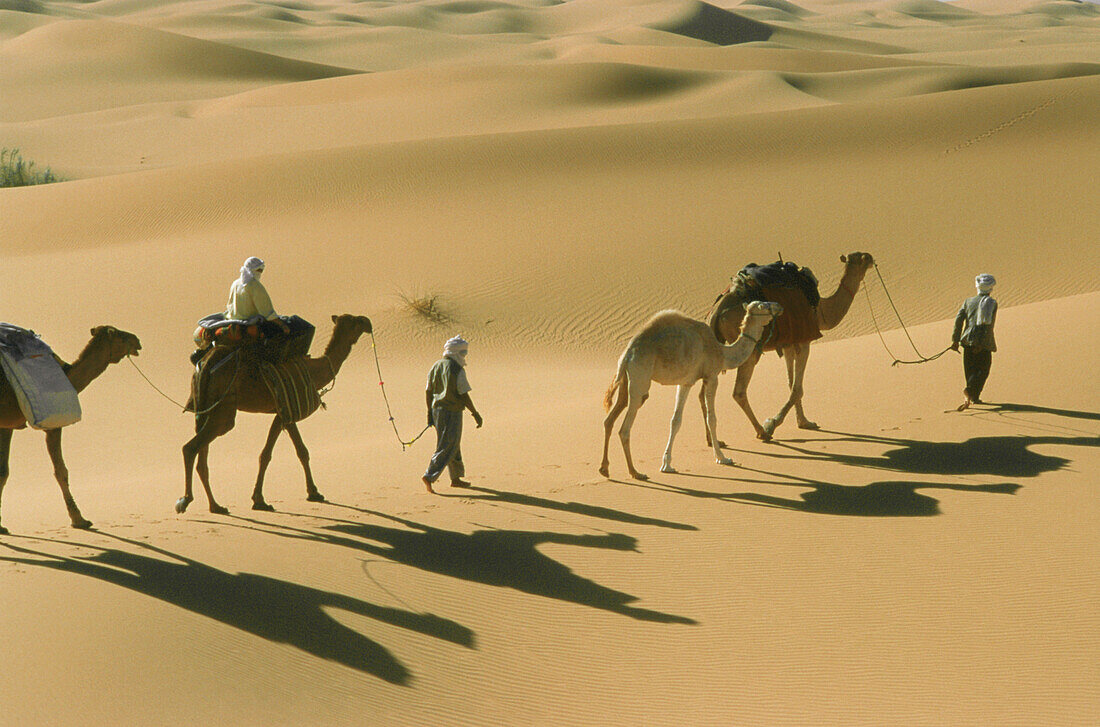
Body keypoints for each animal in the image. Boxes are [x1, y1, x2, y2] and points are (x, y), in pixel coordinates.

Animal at [0, 325, 143, 530]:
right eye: (118, 334)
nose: (137, 341)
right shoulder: (54, 425)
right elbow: (61, 471)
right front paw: (79, 519)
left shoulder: (7, 425)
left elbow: (3, 472)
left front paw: (1, 525)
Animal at [177, 314, 374, 512]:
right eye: (357, 321)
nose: (368, 323)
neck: (314, 371)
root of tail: (207, 363)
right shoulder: (284, 409)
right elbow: (267, 454)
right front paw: (260, 500)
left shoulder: (286, 413)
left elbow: (301, 451)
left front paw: (313, 492)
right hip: (223, 409)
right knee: (192, 447)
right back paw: (185, 500)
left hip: (204, 405)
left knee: (201, 457)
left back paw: (216, 506)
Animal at [598, 301, 787, 481]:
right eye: (762, 305)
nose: (778, 306)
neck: (722, 353)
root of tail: (627, 355)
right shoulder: (712, 376)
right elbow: (712, 419)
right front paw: (722, 457)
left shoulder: (686, 382)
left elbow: (675, 420)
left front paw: (667, 464)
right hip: (640, 379)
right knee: (625, 428)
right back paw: (635, 472)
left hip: (626, 381)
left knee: (609, 420)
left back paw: (605, 469)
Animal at [704, 249, 875, 442]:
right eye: (862, 258)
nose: (871, 257)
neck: (820, 310)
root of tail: (717, 312)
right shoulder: (805, 341)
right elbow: (797, 389)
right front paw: (772, 423)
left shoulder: (788, 344)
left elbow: (791, 383)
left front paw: (804, 422)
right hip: (748, 349)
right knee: (738, 392)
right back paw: (762, 431)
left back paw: (712, 440)